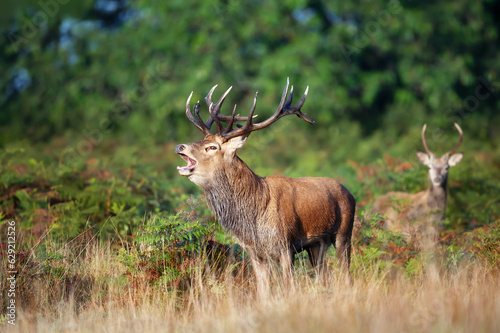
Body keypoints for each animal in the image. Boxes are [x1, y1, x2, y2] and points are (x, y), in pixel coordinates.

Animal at [176, 78, 356, 294]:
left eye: (212, 147)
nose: (180, 146)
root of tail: (350, 193)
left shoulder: (286, 245)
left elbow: (289, 287)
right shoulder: (254, 252)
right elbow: (263, 291)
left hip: (344, 233)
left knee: (346, 276)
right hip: (316, 245)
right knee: (324, 277)